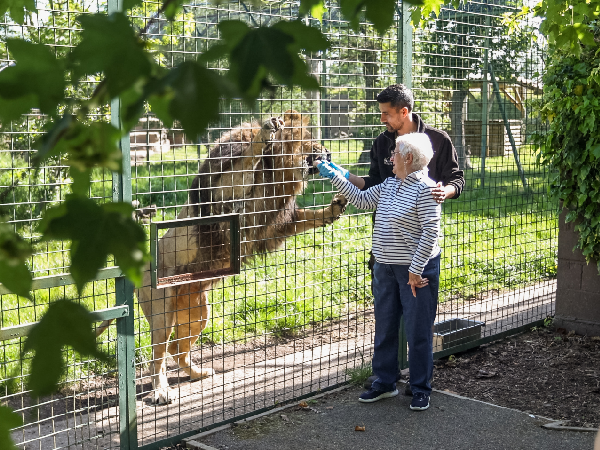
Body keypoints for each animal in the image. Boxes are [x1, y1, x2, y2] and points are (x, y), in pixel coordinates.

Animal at [97, 110, 346, 406]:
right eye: (311, 140)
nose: (330, 153)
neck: (280, 172)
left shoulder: (275, 223)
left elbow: (309, 217)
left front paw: (333, 209)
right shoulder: (226, 197)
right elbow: (247, 162)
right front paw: (265, 133)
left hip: (197, 311)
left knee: (177, 349)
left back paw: (199, 373)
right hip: (162, 309)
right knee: (158, 355)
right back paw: (161, 391)